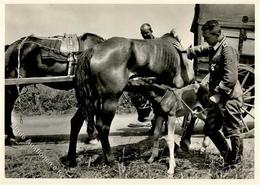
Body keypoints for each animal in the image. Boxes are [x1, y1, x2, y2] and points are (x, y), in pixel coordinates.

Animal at [61, 33, 195, 175]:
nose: (142, 117)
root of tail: (93, 49)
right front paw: (182, 143)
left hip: (89, 100)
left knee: (76, 122)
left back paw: (71, 160)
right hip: (110, 99)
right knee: (102, 127)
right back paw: (111, 161)